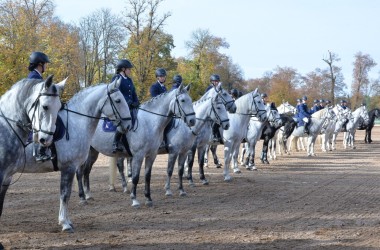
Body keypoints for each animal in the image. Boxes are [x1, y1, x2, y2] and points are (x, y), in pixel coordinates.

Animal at [5, 79, 132, 232]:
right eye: (118, 100)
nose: (129, 125)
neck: (76, 122)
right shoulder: (69, 167)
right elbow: (65, 194)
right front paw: (65, 223)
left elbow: (67, 193)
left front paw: (67, 221)